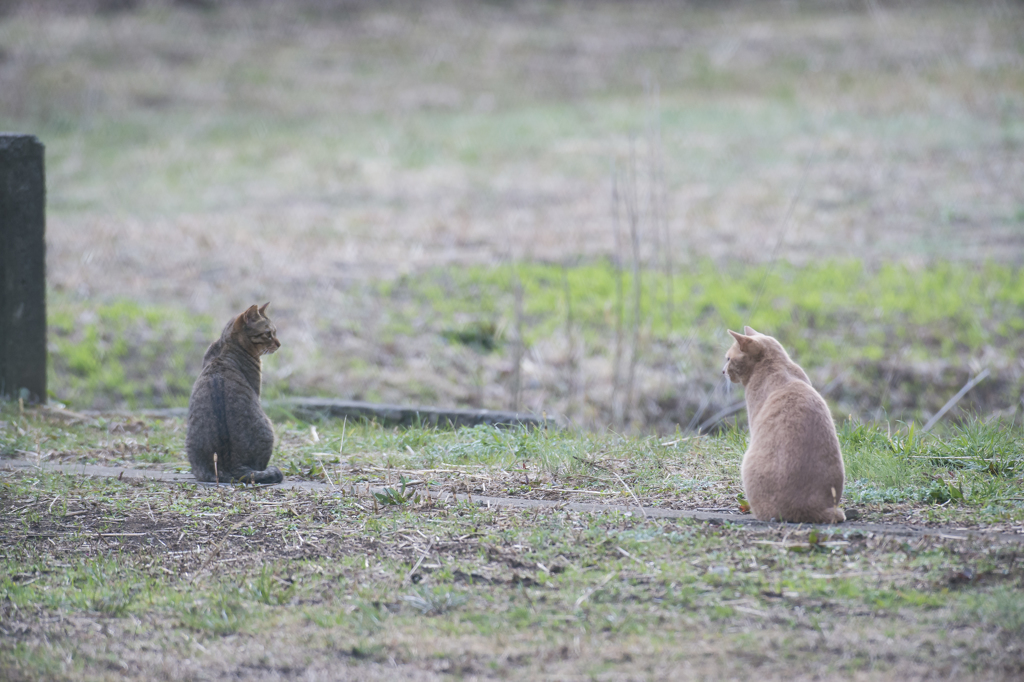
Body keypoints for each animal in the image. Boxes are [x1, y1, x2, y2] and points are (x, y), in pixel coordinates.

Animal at [186, 303, 284, 483]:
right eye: (269, 333)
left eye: (274, 332)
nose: (279, 344)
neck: (226, 345)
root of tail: (233, 466)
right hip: (268, 426)